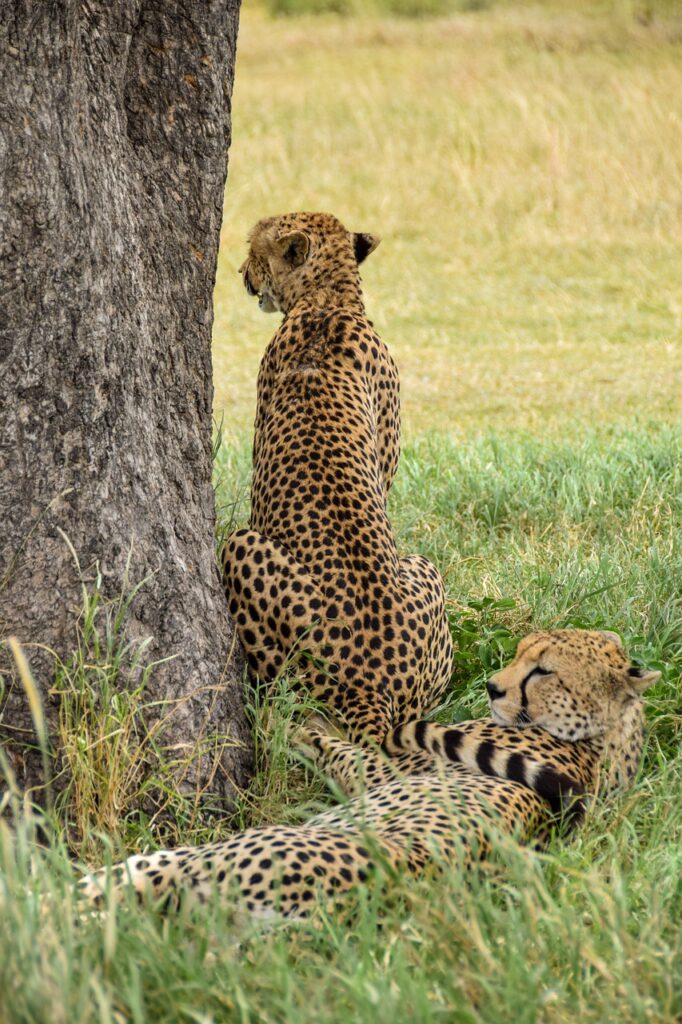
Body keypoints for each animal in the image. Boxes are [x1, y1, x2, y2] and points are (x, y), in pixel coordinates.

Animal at [79, 626, 659, 917]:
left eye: (543, 671)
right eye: (520, 654)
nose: (493, 687)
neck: (604, 742)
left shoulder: (391, 767)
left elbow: (334, 746)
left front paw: (284, 717)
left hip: (208, 853)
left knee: (100, 890)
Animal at [218, 214, 450, 745]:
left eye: (254, 250)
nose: (241, 273)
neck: (329, 299)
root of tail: (374, 684)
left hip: (240, 544)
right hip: (424, 571)